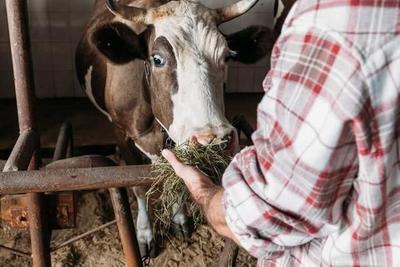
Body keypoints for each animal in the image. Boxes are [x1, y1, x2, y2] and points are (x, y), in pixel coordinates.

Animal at [75, 0, 276, 258]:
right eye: (157, 59)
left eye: (226, 56)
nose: (213, 140)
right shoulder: (121, 133)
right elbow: (138, 186)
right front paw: (144, 233)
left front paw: (179, 218)